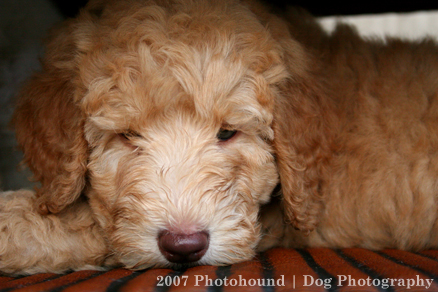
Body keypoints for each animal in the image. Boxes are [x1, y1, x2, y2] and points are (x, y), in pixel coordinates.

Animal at [2, 0, 438, 274]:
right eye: (127, 135)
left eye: (227, 132)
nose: (184, 245)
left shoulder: (276, 222)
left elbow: (88, 225)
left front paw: (12, 225)